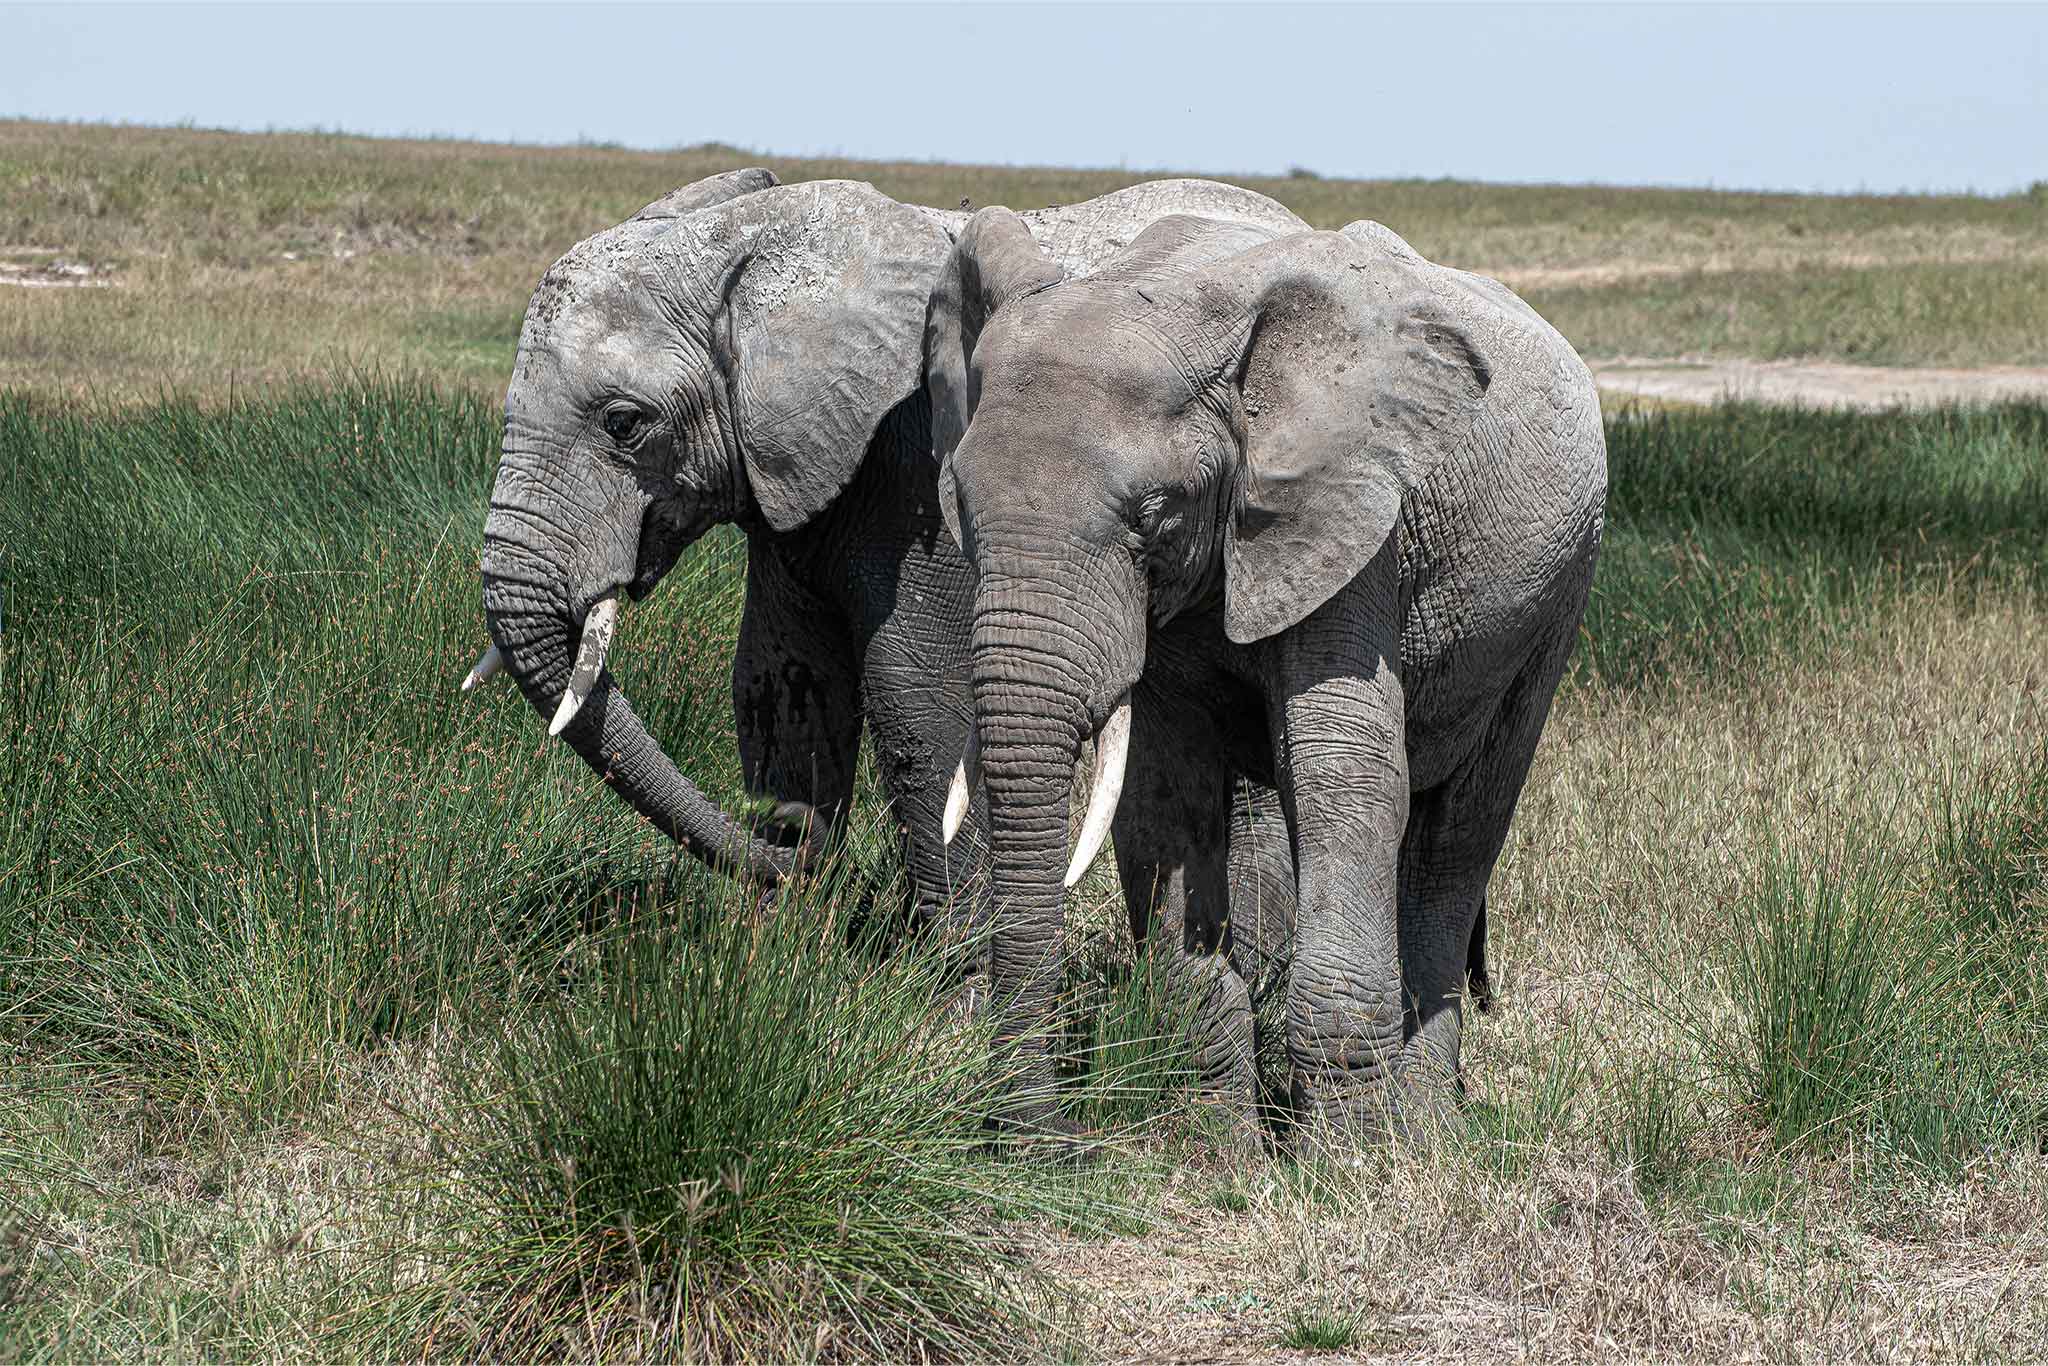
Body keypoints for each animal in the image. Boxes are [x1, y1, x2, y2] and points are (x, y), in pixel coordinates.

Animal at [462, 169, 1310, 968]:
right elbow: (782, 683)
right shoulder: (797, 489)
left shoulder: (915, 469)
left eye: (624, 424)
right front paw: (778, 956)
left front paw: (951, 991)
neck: (750, 244)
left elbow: (919, 699)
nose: (793, 851)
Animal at [924, 207, 1607, 1139]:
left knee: (1461, 831)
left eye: (1155, 514)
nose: (1043, 1146)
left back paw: (1428, 1126)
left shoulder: (1357, 521)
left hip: (1560, 592)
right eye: (959, 500)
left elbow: (1341, 776)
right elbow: (1163, 788)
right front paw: (1218, 1145)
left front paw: (1353, 1158)